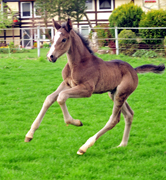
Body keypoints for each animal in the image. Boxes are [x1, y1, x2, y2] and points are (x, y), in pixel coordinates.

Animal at [24, 19, 165, 155]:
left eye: (64, 39)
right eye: (53, 39)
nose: (50, 56)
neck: (78, 63)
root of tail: (134, 71)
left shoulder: (87, 89)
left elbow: (61, 97)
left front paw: (76, 122)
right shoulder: (67, 84)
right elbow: (49, 98)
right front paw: (29, 134)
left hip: (121, 94)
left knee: (114, 119)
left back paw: (84, 147)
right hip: (114, 93)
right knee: (129, 114)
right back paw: (122, 144)